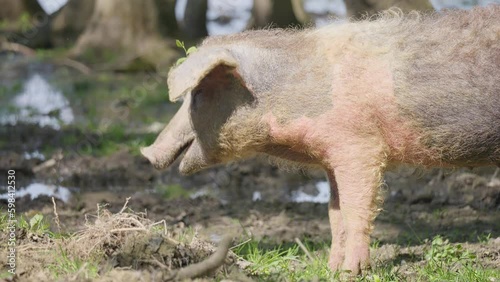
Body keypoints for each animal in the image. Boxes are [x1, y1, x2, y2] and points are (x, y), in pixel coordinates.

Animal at [142, 5, 500, 276]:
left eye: (199, 93)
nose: (146, 153)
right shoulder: (331, 157)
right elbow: (334, 216)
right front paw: (330, 269)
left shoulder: (359, 146)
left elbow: (355, 212)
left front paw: (351, 272)